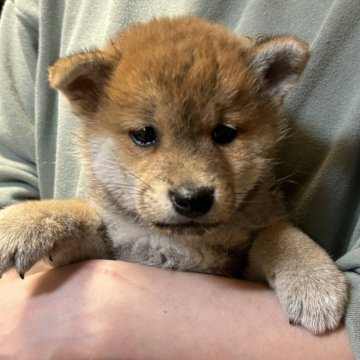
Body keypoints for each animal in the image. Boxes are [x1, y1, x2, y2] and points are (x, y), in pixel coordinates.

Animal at [0, 17, 348, 334]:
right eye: (144, 134)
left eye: (224, 133)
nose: (193, 199)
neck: (176, 244)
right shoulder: (106, 251)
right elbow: (82, 213)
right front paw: (23, 223)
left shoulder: (239, 264)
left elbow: (276, 232)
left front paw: (313, 278)